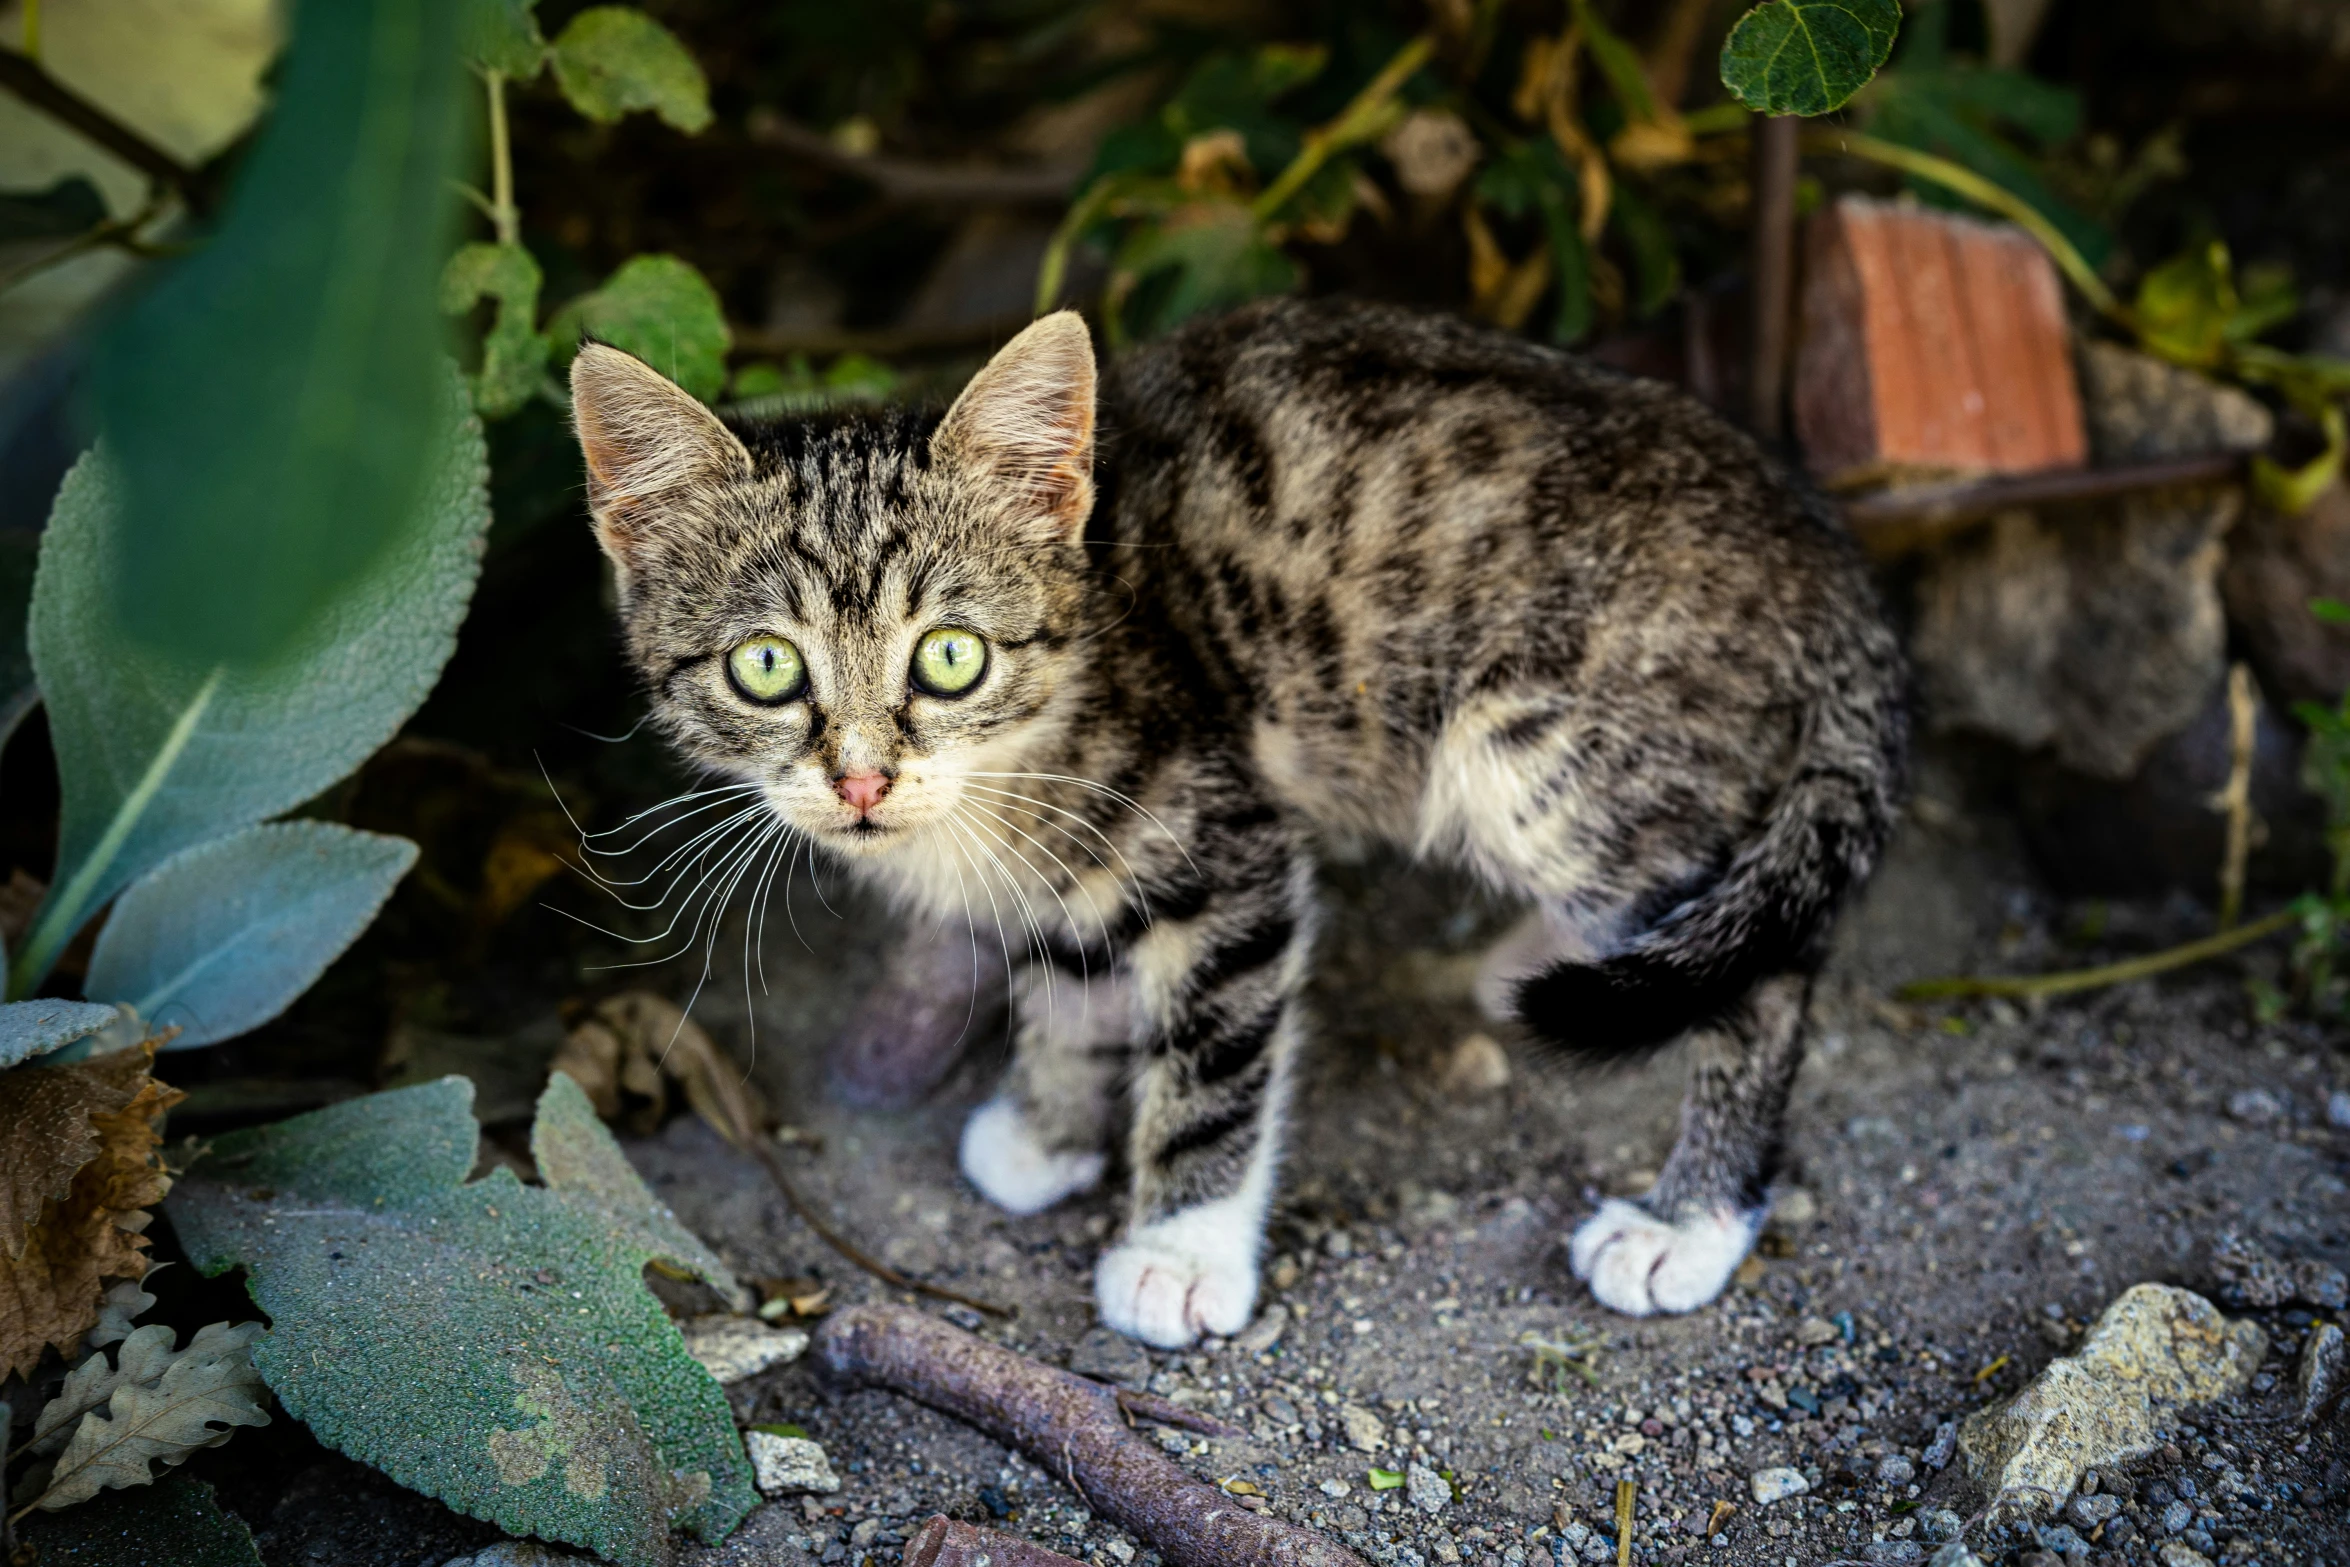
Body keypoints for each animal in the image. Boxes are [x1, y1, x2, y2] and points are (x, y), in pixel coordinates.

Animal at [568, 297, 1908, 1353]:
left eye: (949, 656)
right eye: (764, 667)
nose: (860, 781)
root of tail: (1829, 560)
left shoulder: (1226, 843)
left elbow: (1214, 1055)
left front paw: (1180, 1248)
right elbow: (1068, 972)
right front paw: (1048, 1124)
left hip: (1542, 751)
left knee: (1758, 968)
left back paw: (1689, 1219)